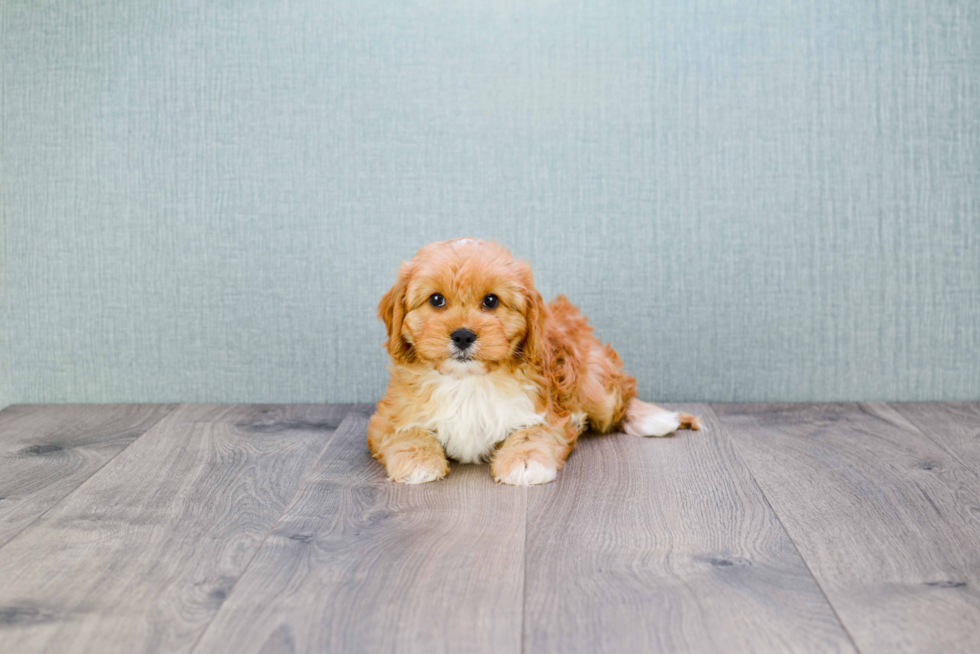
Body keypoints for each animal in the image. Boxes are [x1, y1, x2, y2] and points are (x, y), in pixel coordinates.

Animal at [366, 238, 696, 484]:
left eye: (491, 301)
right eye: (436, 300)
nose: (462, 335)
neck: (468, 380)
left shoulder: (549, 412)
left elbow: (531, 433)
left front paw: (524, 463)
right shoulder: (388, 417)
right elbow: (406, 433)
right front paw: (417, 460)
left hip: (594, 380)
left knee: (622, 395)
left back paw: (652, 418)